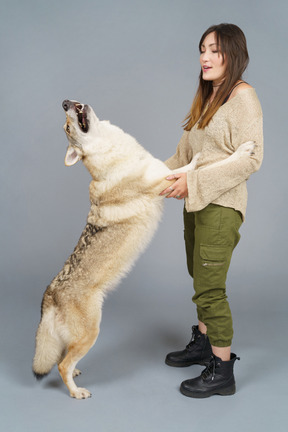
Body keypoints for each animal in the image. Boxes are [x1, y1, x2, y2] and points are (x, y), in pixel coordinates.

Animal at [32, 99, 255, 400]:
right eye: (67, 127)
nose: (65, 102)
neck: (114, 152)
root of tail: (49, 294)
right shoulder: (168, 179)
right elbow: (203, 165)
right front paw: (238, 151)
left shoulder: (165, 171)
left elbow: (197, 165)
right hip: (91, 334)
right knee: (61, 365)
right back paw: (77, 392)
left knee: (62, 358)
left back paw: (76, 374)